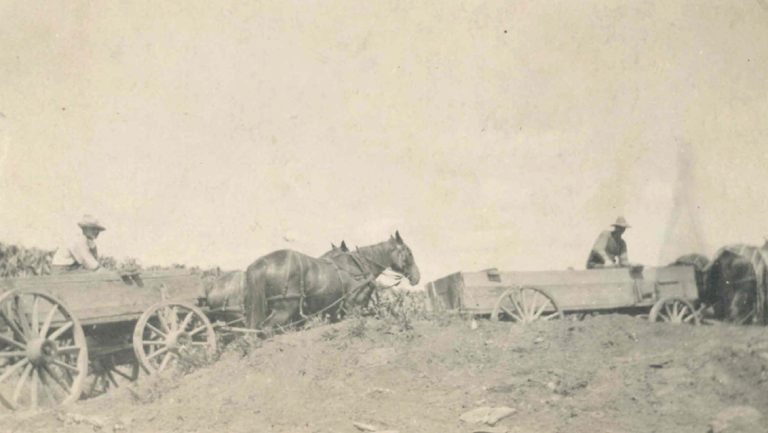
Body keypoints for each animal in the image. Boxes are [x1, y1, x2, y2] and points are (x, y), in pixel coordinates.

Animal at [243, 231, 420, 330]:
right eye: (409, 253)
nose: (417, 277)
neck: (358, 266)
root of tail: (263, 263)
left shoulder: (335, 312)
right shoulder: (353, 307)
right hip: (285, 308)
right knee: (266, 329)